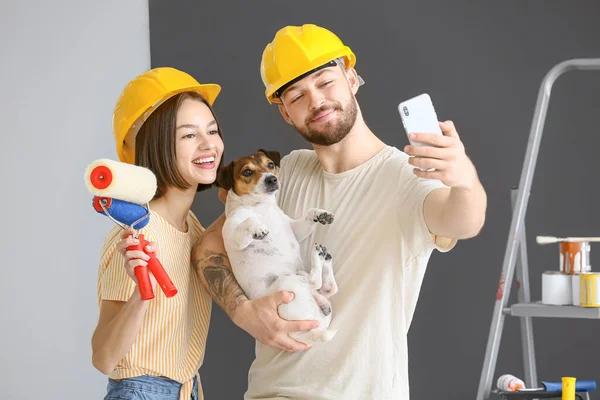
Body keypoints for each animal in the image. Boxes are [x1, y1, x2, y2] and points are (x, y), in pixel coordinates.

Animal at [217, 149, 340, 344]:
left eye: (270, 165)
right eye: (247, 172)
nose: (271, 179)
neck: (261, 207)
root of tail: (309, 333)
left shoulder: (294, 229)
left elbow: (307, 215)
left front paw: (320, 214)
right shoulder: (233, 236)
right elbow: (249, 220)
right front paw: (258, 227)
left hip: (314, 295)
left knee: (327, 288)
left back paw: (324, 257)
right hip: (286, 281)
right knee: (316, 282)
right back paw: (317, 254)